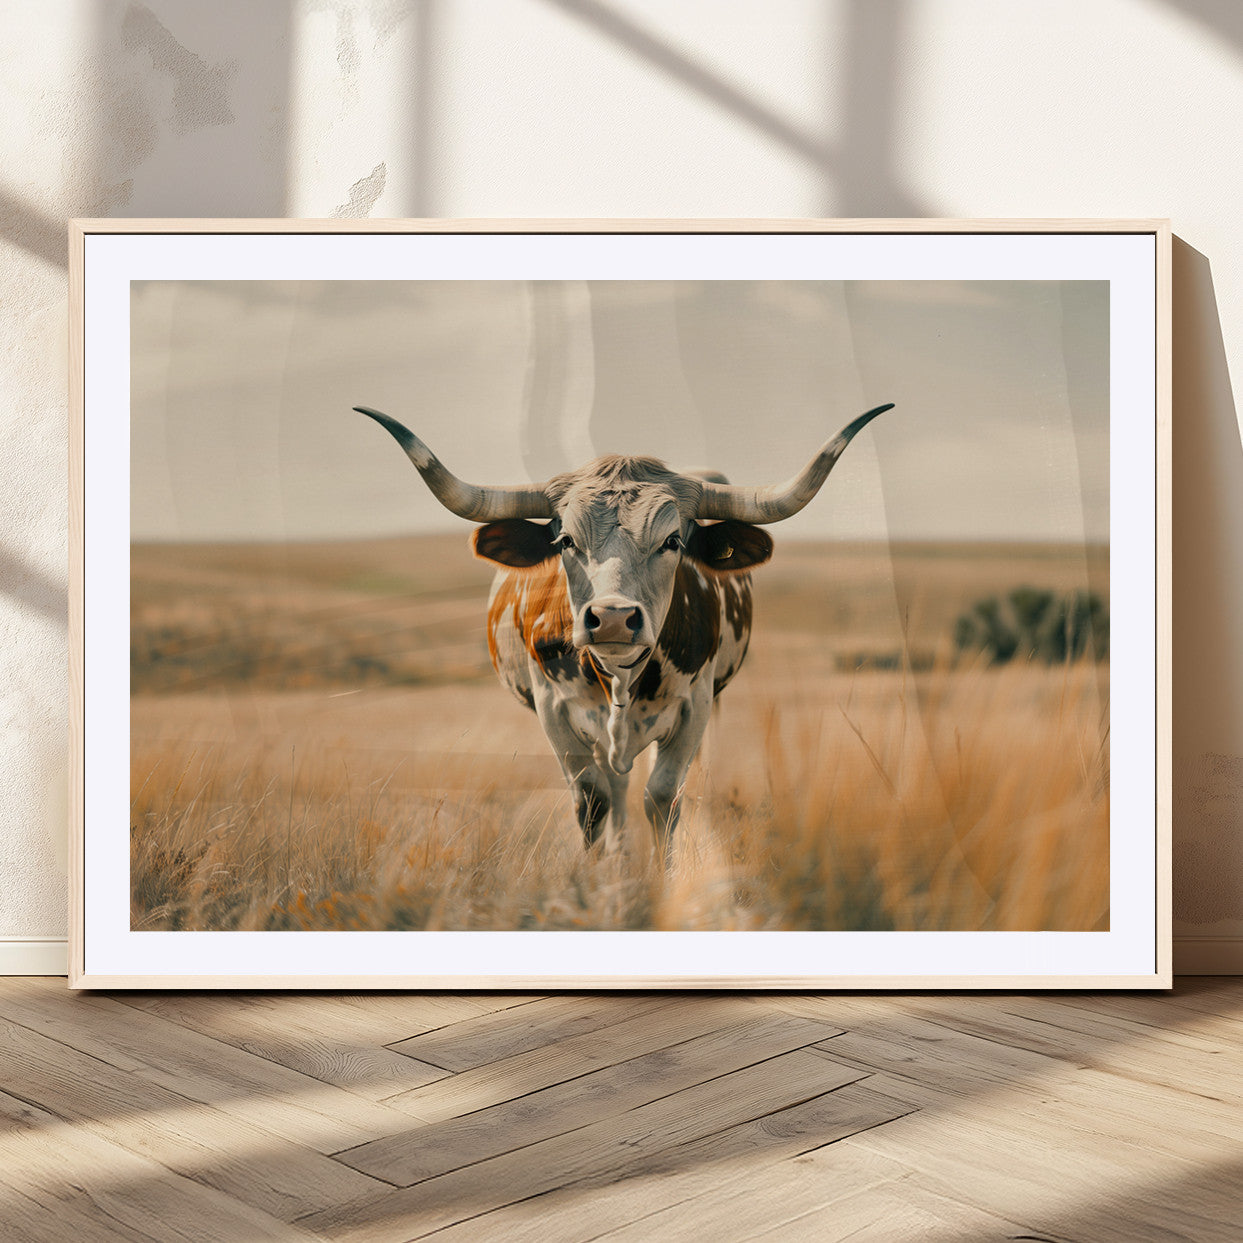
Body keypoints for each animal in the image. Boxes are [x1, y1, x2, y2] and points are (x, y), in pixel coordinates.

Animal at [357, 402, 892, 857]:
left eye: (673, 540)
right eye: (565, 540)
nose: (612, 616)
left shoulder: (695, 707)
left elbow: (663, 798)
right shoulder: (553, 710)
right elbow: (593, 800)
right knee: (612, 789)